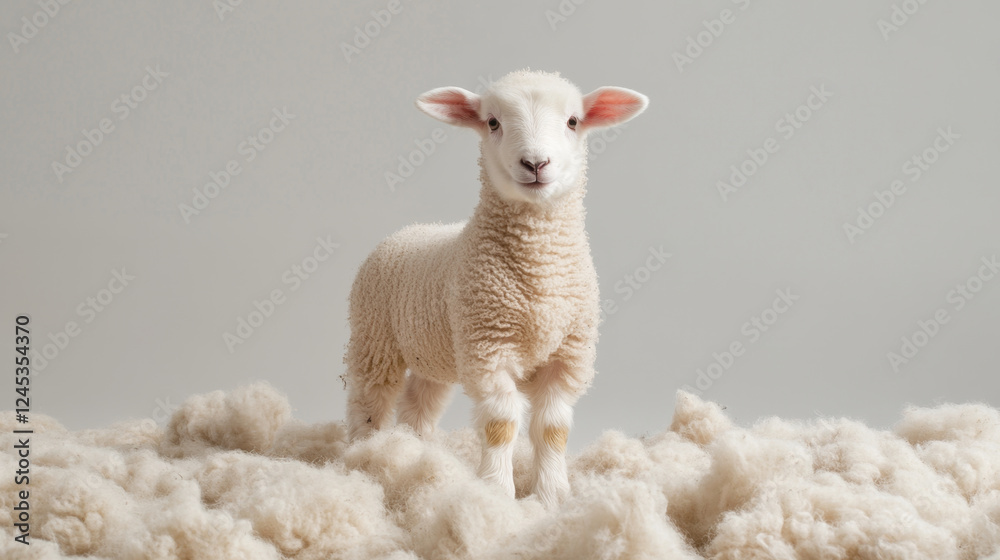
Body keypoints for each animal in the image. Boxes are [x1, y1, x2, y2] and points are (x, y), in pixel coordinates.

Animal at [345, 70, 648, 505]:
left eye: (573, 121)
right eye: (492, 122)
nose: (535, 163)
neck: (539, 275)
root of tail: (411, 229)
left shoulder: (566, 355)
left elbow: (553, 429)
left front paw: (552, 496)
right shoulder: (489, 349)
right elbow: (501, 424)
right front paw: (497, 492)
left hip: (434, 353)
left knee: (418, 405)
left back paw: (417, 455)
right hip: (375, 339)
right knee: (368, 400)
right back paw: (361, 456)